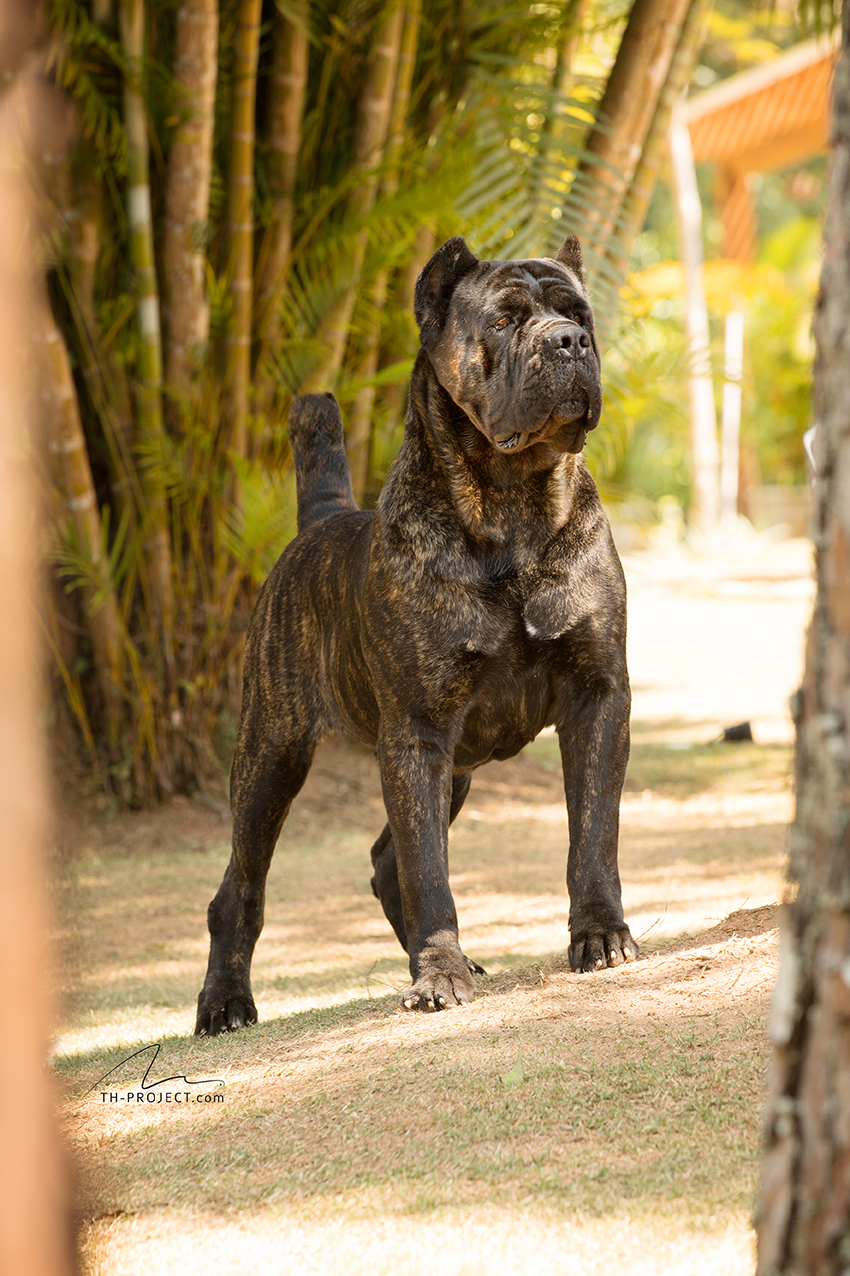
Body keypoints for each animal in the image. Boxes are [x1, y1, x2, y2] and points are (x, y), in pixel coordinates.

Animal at [195, 234, 635, 1036]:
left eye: (580, 314)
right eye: (502, 322)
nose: (568, 342)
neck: (512, 507)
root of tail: (323, 519)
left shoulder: (596, 695)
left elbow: (593, 832)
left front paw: (599, 934)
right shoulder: (418, 730)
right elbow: (430, 870)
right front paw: (439, 975)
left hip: (450, 767)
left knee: (383, 861)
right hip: (272, 756)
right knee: (240, 889)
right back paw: (225, 1002)